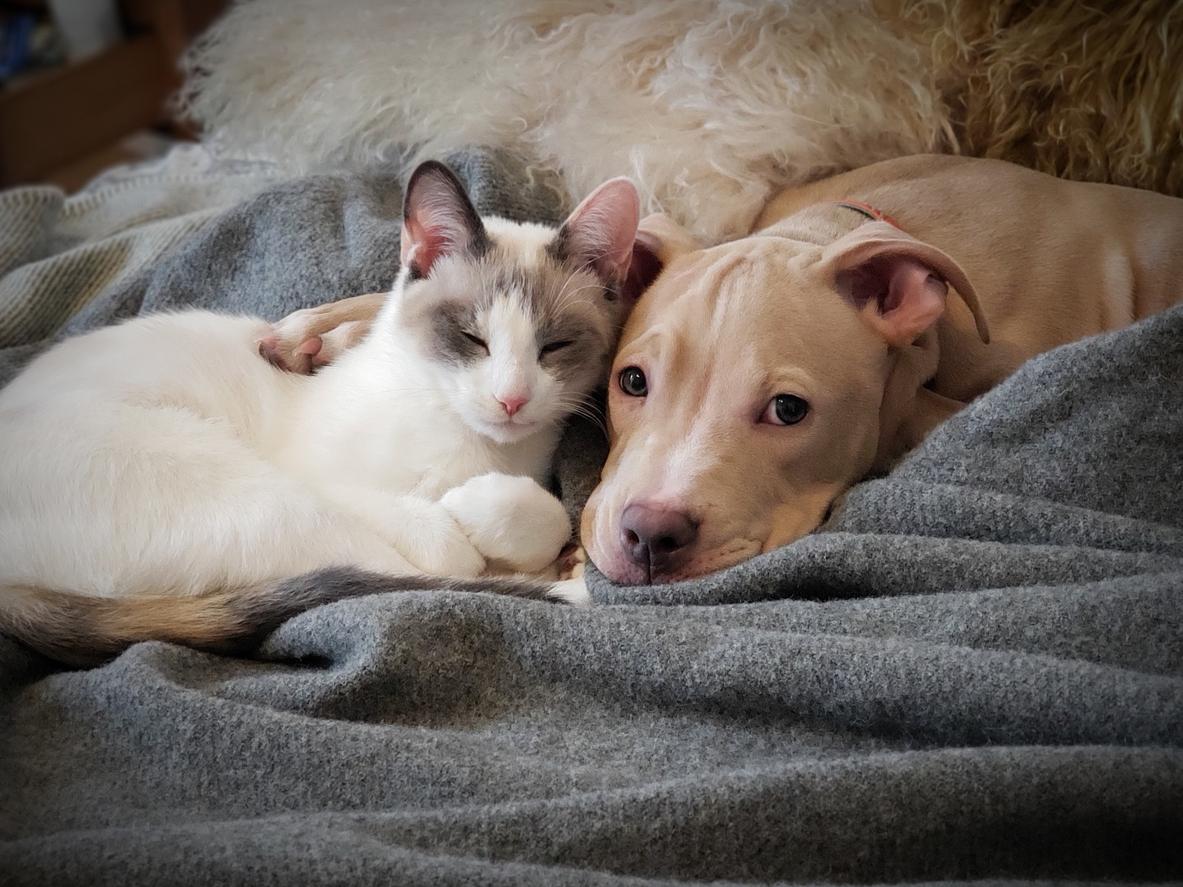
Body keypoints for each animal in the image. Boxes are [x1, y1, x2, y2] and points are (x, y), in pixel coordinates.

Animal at [0, 159, 643, 667]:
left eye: (555, 346)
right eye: (471, 338)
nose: (511, 399)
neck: (479, 446)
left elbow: (543, 513)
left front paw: (490, 512)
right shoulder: (317, 477)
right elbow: (445, 541)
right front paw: (464, 515)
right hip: (254, 497)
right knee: (395, 575)